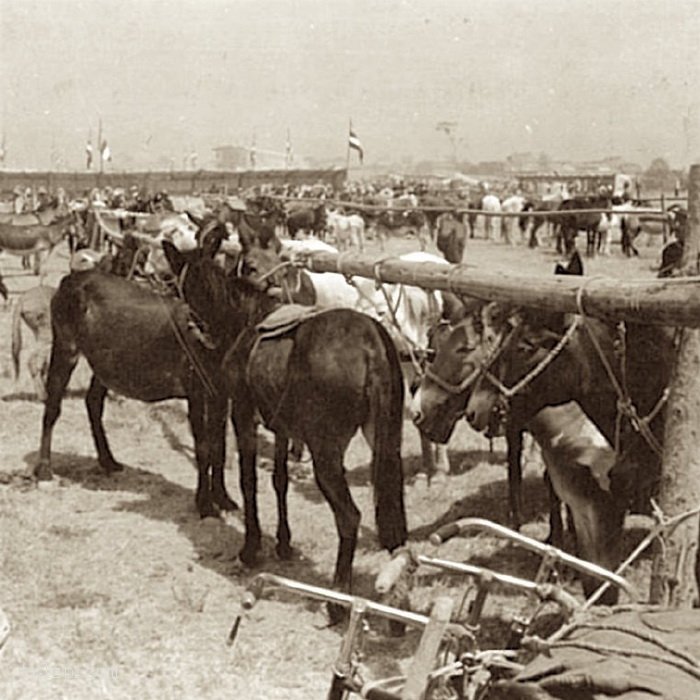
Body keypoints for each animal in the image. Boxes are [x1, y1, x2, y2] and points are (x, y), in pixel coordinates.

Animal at [35, 268, 238, 520]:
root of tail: (72, 278)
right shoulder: (197, 394)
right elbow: (204, 447)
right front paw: (205, 505)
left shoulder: (221, 396)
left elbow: (220, 446)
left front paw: (223, 499)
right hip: (65, 346)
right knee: (53, 405)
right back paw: (44, 470)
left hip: (105, 363)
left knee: (93, 401)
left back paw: (108, 461)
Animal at [161, 235, 408, 608]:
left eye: (182, 284)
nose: (194, 331)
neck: (245, 318)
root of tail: (371, 345)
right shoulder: (282, 426)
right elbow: (280, 480)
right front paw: (283, 542)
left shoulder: (243, 411)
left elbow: (249, 480)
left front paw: (251, 548)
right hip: (386, 444)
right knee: (395, 522)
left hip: (327, 453)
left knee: (349, 518)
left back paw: (338, 601)